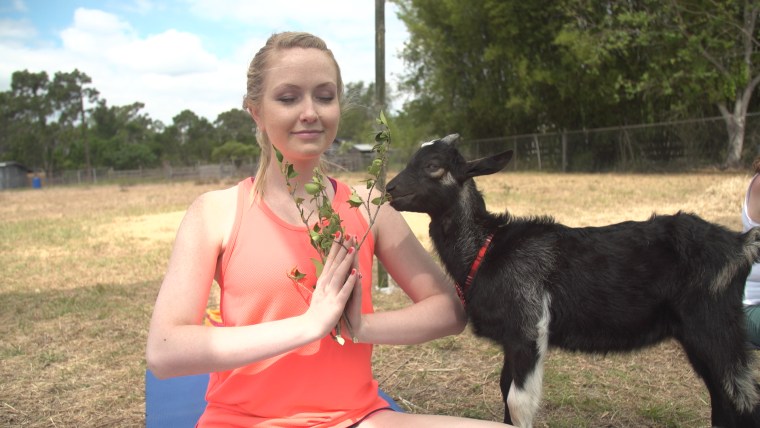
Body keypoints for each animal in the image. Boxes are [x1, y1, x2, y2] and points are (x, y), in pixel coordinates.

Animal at [388, 135, 760, 428]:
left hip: (716, 328)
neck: (488, 246)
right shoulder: (513, 338)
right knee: (724, 399)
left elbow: (518, 403)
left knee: (742, 398)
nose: (390, 189)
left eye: (434, 165)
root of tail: (741, 244)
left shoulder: (529, 325)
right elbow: (505, 390)